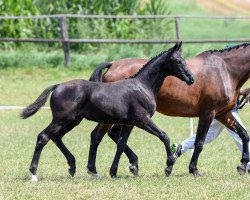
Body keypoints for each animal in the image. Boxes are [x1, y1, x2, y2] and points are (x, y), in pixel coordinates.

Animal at [20, 42, 194, 181]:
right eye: (178, 61)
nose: (191, 79)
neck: (143, 85)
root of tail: (58, 86)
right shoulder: (142, 120)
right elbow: (163, 135)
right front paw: (169, 166)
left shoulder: (129, 124)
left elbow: (121, 145)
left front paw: (114, 172)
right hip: (62, 119)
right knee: (43, 137)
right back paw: (34, 174)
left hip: (73, 120)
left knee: (57, 137)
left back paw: (74, 167)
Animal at [87, 42, 250, 177]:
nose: (191, 79)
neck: (225, 70)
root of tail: (113, 64)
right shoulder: (208, 113)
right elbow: (199, 143)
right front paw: (193, 169)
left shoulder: (223, 114)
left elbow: (244, 134)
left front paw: (243, 165)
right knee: (98, 136)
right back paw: (95, 170)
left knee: (112, 135)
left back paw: (132, 164)